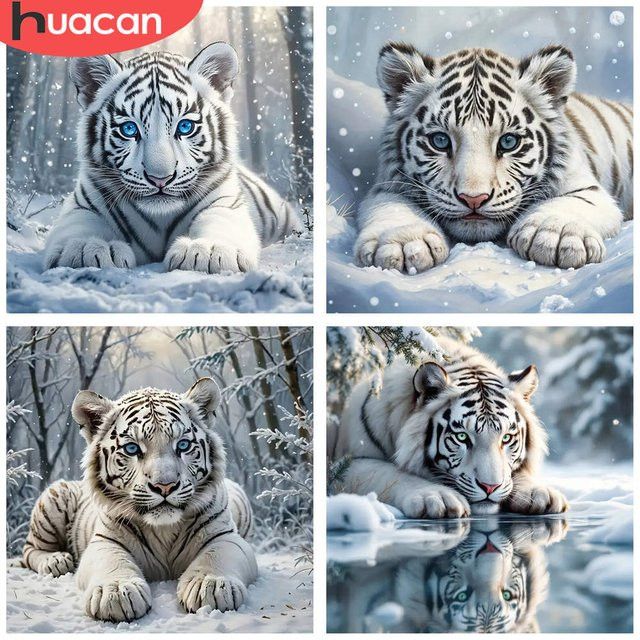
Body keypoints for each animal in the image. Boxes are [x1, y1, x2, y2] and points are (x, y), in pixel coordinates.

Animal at [21, 377, 258, 623]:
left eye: (183, 445)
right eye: (132, 448)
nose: (165, 485)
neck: (164, 528)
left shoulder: (226, 537)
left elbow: (215, 557)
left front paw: (210, 585)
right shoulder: (105, 541)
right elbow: (112, 560)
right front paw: (117, 592)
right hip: (54, 497)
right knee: (29, 550)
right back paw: (56, 561)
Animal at [43, 42, 300, 274]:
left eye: (185, 127)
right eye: (129, 129)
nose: (160, 178)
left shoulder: (225, 203)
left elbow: (220, 222)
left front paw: (207, 251)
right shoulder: (83, 204)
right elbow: (80, 226)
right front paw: (89, 248)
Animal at [334, 336, 568, 518]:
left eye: (506, 438)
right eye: (462, 437)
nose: (490, 487)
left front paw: (540, 494)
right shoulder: (347, 463)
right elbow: (389, 473)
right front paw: (438, 498)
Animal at [354, 43, 632, 273]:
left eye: (508, 142)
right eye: (440, 141)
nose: (473, 199)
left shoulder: (587, 187)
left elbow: (569, 204)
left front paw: (554, 236)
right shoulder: (387, 185)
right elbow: (393, 206)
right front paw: (402, 244)